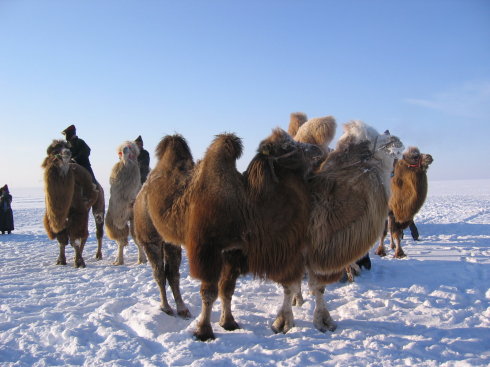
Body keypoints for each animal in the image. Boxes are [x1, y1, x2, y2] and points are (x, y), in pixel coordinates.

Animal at [42, 139, 99, 268]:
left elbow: (74, 240)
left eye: (67, 147)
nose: (67, 153)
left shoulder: (77, 212)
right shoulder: (54, 217)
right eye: (55, 151)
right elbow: (61, 240)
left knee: (90, 233)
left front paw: (79, 262)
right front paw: (61, 260)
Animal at [135, 135, 194, 320]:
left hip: (168, 243)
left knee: (171, 273)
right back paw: (168, 307)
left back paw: (181, 309)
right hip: (152, 240)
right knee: (161, 273)